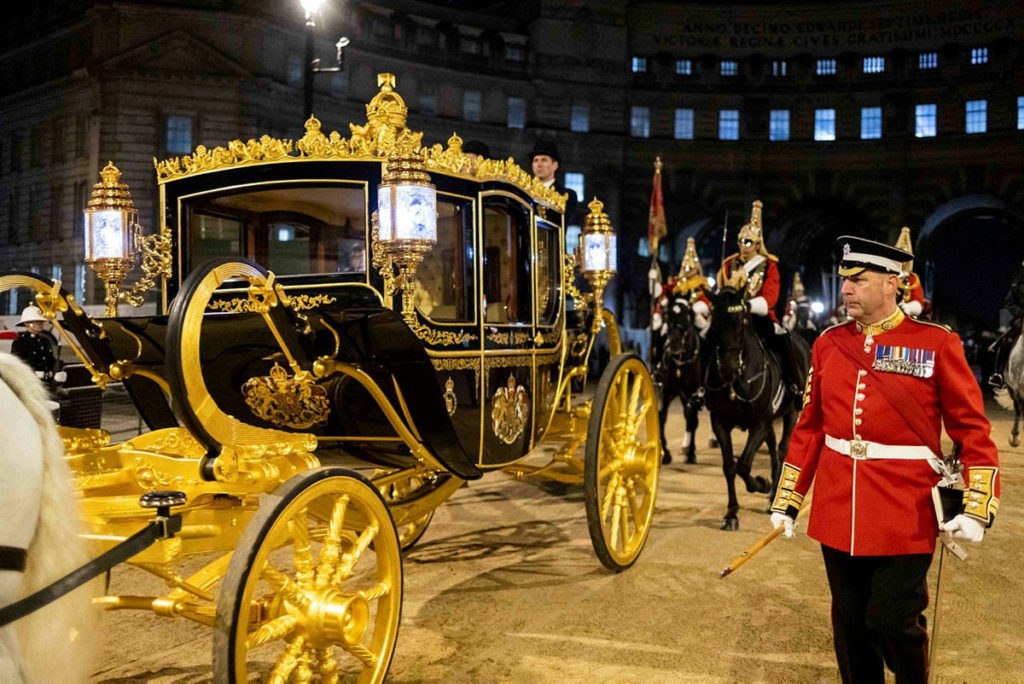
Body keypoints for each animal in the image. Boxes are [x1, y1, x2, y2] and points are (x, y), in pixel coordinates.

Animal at [655, 294, 704, 464]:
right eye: (667, 315)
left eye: (687, 314)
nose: (674, 344)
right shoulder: (667, 390)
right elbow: (661, 416)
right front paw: (665, 453)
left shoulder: (693, 392)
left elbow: (692, 418)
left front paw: (691, 452)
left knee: (692, 418)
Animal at [704, 286, 806, 532]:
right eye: (714, 325)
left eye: (741, 323)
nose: (728, 368)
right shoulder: (719, 421)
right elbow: (730, 466)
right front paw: (731, 514)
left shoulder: (758, 423)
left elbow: (743, 465)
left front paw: (762, 483)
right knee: (773, 449)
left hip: (791, 413)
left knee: (782, 449)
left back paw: (773, 494)